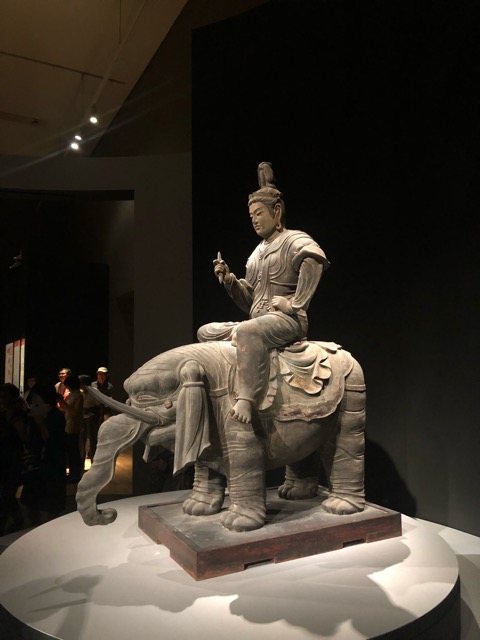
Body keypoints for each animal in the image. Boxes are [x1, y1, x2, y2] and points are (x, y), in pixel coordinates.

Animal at [77, 338, 366, 532]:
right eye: (130, 401)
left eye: (166, 406)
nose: (109, 513)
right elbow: (205, 459)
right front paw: (196, 510)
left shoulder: (234, 406)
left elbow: (245, 456)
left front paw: (237, 524)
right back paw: (293, 494)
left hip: (353, 389)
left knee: (346, 445)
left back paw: (340, 508)